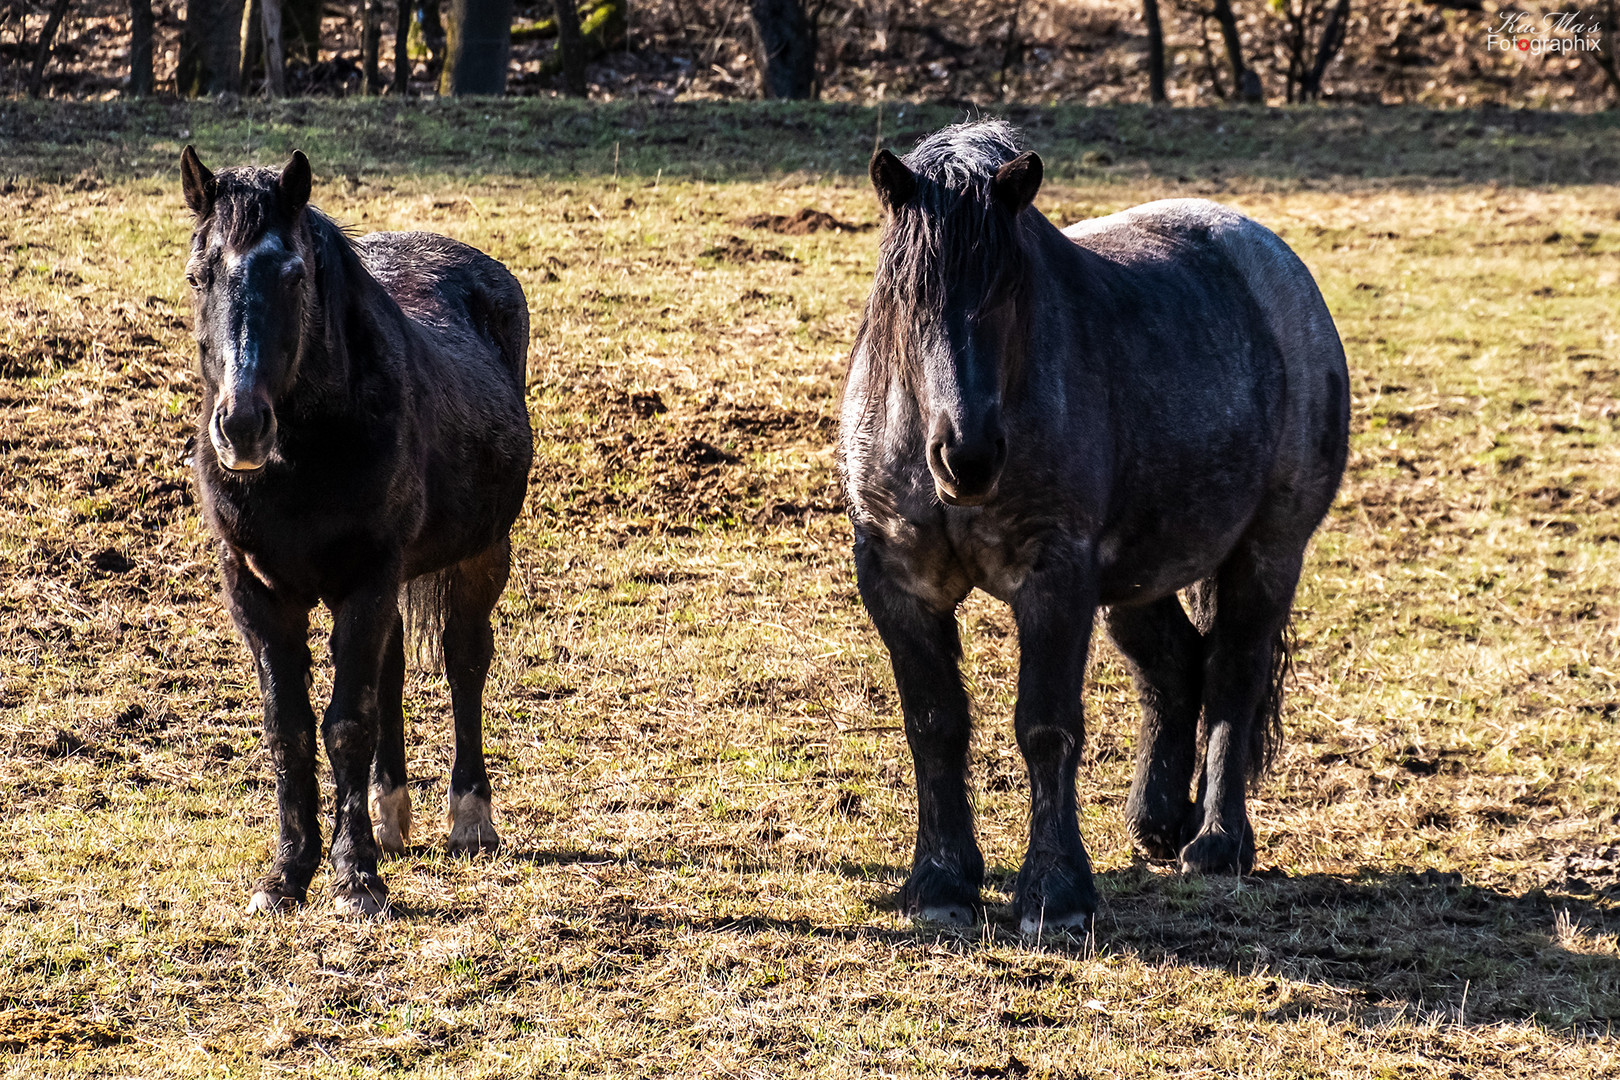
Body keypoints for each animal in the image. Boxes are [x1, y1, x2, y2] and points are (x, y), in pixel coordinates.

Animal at [179, 148, 531, 919]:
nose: (241, 426)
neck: (301, 462)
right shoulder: (255, 591)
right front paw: (287, 873)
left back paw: (469, 820)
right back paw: (391, 813)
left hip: (481, 555)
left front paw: (355, 878)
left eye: (295, 276)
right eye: (198, 275)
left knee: (464, 660)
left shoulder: (365, 580)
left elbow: (346, 722)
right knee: (393, 667)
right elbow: (289, 728)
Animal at [842, 120, 1347, 939]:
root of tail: (1274, 260)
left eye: (1011, 293)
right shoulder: (899, 581)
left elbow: (1046, 727)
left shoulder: (1056, 579)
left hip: (1267, 553)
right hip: (1138, 577)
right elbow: (934, 722)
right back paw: (1157, 822)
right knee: (1174, 669)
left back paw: (1216, 842)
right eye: (906, 297)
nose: (967, 456)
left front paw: (1055, 895)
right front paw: (941, 885)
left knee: (1232, 672)